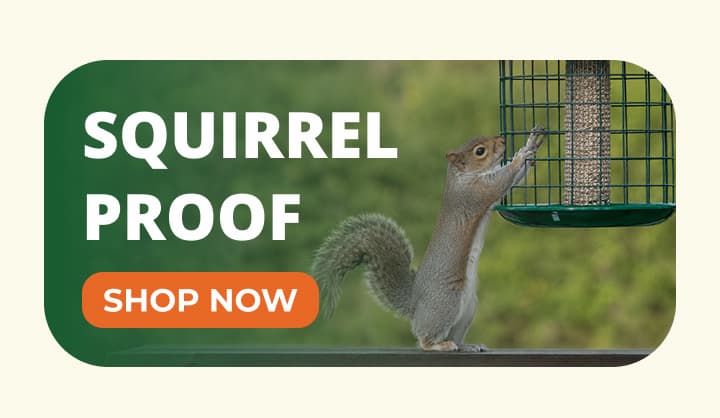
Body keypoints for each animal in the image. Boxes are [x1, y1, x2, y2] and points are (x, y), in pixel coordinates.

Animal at [311, 126, 546, 351]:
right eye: (480, 151)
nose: (503, 141)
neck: (461, 178)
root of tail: (414, 305)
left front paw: (531, 146)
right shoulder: (475, 193)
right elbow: (502, 181)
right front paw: (524, 152)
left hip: (468, 309)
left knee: (454, 335)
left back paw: (466, 345)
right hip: (445, 303)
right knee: (424, 340)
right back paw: (439, 345)